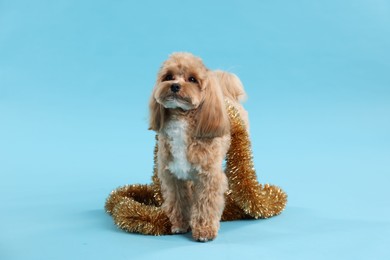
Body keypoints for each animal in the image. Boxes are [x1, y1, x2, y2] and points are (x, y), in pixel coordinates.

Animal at [148, 52, 248, 242]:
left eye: (192, 79)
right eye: (168, 77)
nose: (174, 86)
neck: (181, 119)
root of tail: (228, 96)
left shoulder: (208, 177)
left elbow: (205, 204)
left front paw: (204, 231)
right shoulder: (173, 176)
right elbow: (178, 201)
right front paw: (180, 224)